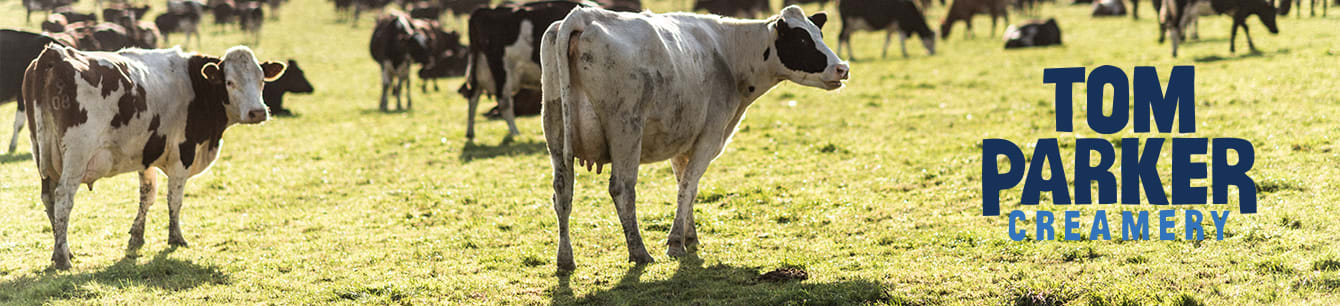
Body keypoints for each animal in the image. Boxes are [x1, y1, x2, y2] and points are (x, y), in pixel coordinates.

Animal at [19, 44, 286, 268]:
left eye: (262, 80)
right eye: (229, 82)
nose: (257, 112)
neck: (196, 86)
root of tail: (53, 54)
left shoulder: (146, 153)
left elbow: (147, 194)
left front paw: (137, 235)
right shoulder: (182, 154)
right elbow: (174, 199)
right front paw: (176, 237)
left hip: (42, 154)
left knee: (48, 198)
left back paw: (62, 249)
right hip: (76, 155)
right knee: (63, 198)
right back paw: (63, 257)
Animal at [460, 0, 586, 139]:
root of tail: (482, 11)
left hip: (479, 67)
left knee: (473, 97)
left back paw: (470, 132)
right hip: (501, 69)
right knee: (504, 102)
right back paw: (515, 133)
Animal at [536, 5, 841, 269]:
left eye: (819, 34)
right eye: (802, 40)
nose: (843, 68)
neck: (728, 53)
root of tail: (583, 15)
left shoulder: (681, 142)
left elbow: (686, 186)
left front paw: (689, 235)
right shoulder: (708, 138)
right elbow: (687, 187)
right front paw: (675, 243)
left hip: (555, 131)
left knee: (562, 192)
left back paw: (565, 259)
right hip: (626, 130)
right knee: (622, 188)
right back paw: (639, 252)